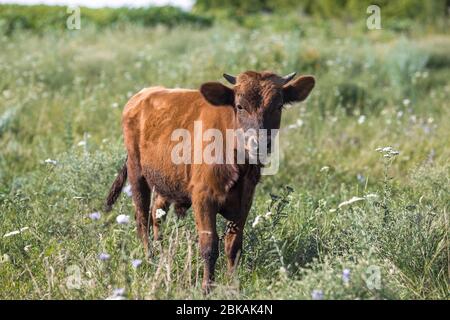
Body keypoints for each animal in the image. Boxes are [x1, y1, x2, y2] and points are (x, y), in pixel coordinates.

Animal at [105, 70, 316, 292]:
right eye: (240, 106)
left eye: (278, 106)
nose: (259, 143)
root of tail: (143, 94)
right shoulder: (203, 197)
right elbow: (209, 245)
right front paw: (207, 286)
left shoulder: (245, 200)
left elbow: (233, 245)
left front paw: (233, 284)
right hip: (136, 172)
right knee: (142, 218)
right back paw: (149, 258)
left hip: (167, 181)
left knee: (157, 214)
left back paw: (162, 255)